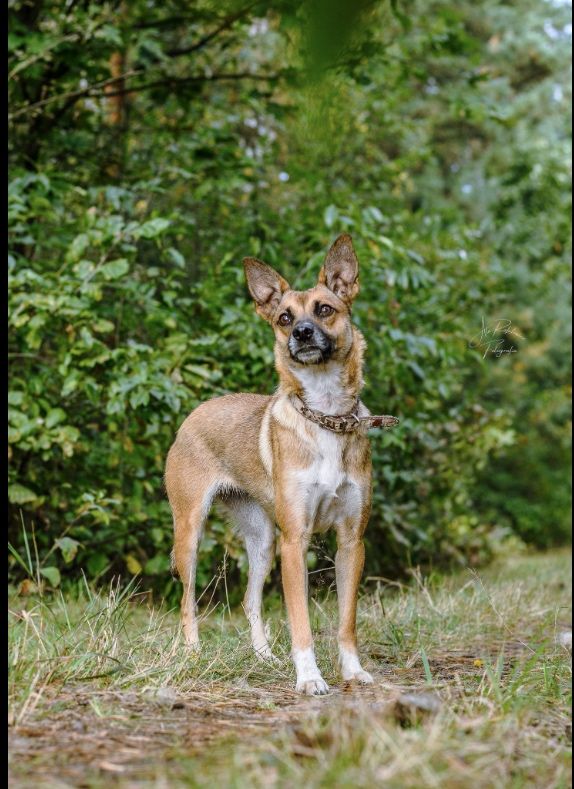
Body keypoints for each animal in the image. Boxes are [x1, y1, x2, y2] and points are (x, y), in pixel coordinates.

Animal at [166, 235, 398, 696]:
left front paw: (352, 671)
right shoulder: (296, 543)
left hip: (262, 540)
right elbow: (301, 621)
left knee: (249, 600)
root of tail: (192, 415)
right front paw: (309, 678)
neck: (325, 415)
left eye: (324, 309)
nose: (302, 333)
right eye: (285, 317)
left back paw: (264, 657)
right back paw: (194, 653)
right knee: (187, 600)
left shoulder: (351, 543)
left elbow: (346, 621)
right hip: (191, 533)